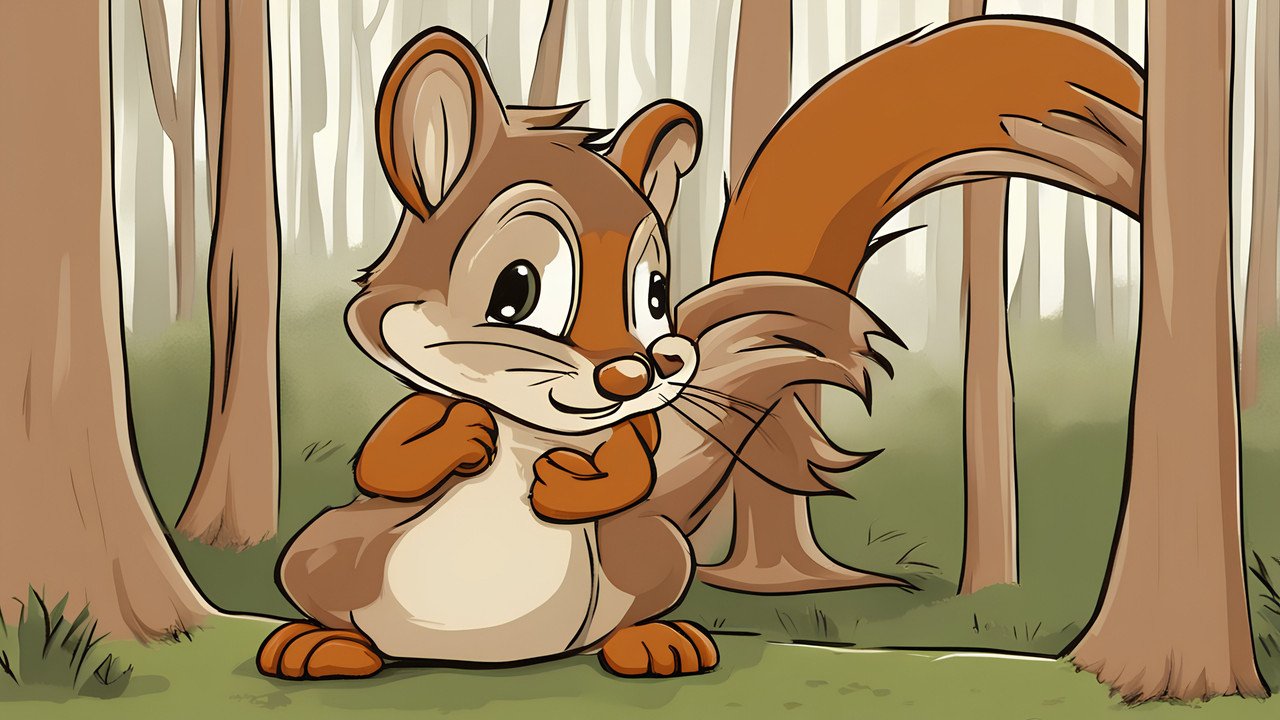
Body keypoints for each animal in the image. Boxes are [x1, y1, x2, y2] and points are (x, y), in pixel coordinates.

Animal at [257, 18, 1142, 680]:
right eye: (516, 291)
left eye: (655, 296)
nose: (637, 371)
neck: (529, 429)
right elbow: (385, 461)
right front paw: (459, 435)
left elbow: (631, 469)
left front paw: (569, 482)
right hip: (328, 550)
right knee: (325, 583)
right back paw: (319, 646)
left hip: (648, 556)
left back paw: (657, 641)